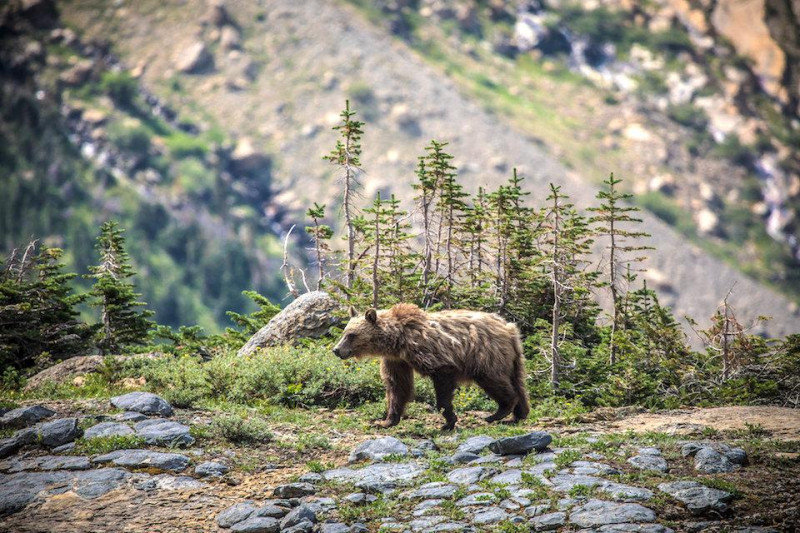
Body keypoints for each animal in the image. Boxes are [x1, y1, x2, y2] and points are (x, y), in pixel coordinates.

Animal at [332, 303, 530, 430]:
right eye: (345, 332)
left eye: (351, 335)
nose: (336, 350)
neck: (397, 341)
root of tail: (509, 327)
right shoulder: (397, 361)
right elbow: (397, 386)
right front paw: (386, 421)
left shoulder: (429, 353)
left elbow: (442, 381)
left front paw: (448, 421)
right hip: (514, 358)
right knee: (518, 381)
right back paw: (519, 414)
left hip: (485, 354)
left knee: (493, 380)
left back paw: (498, 413)